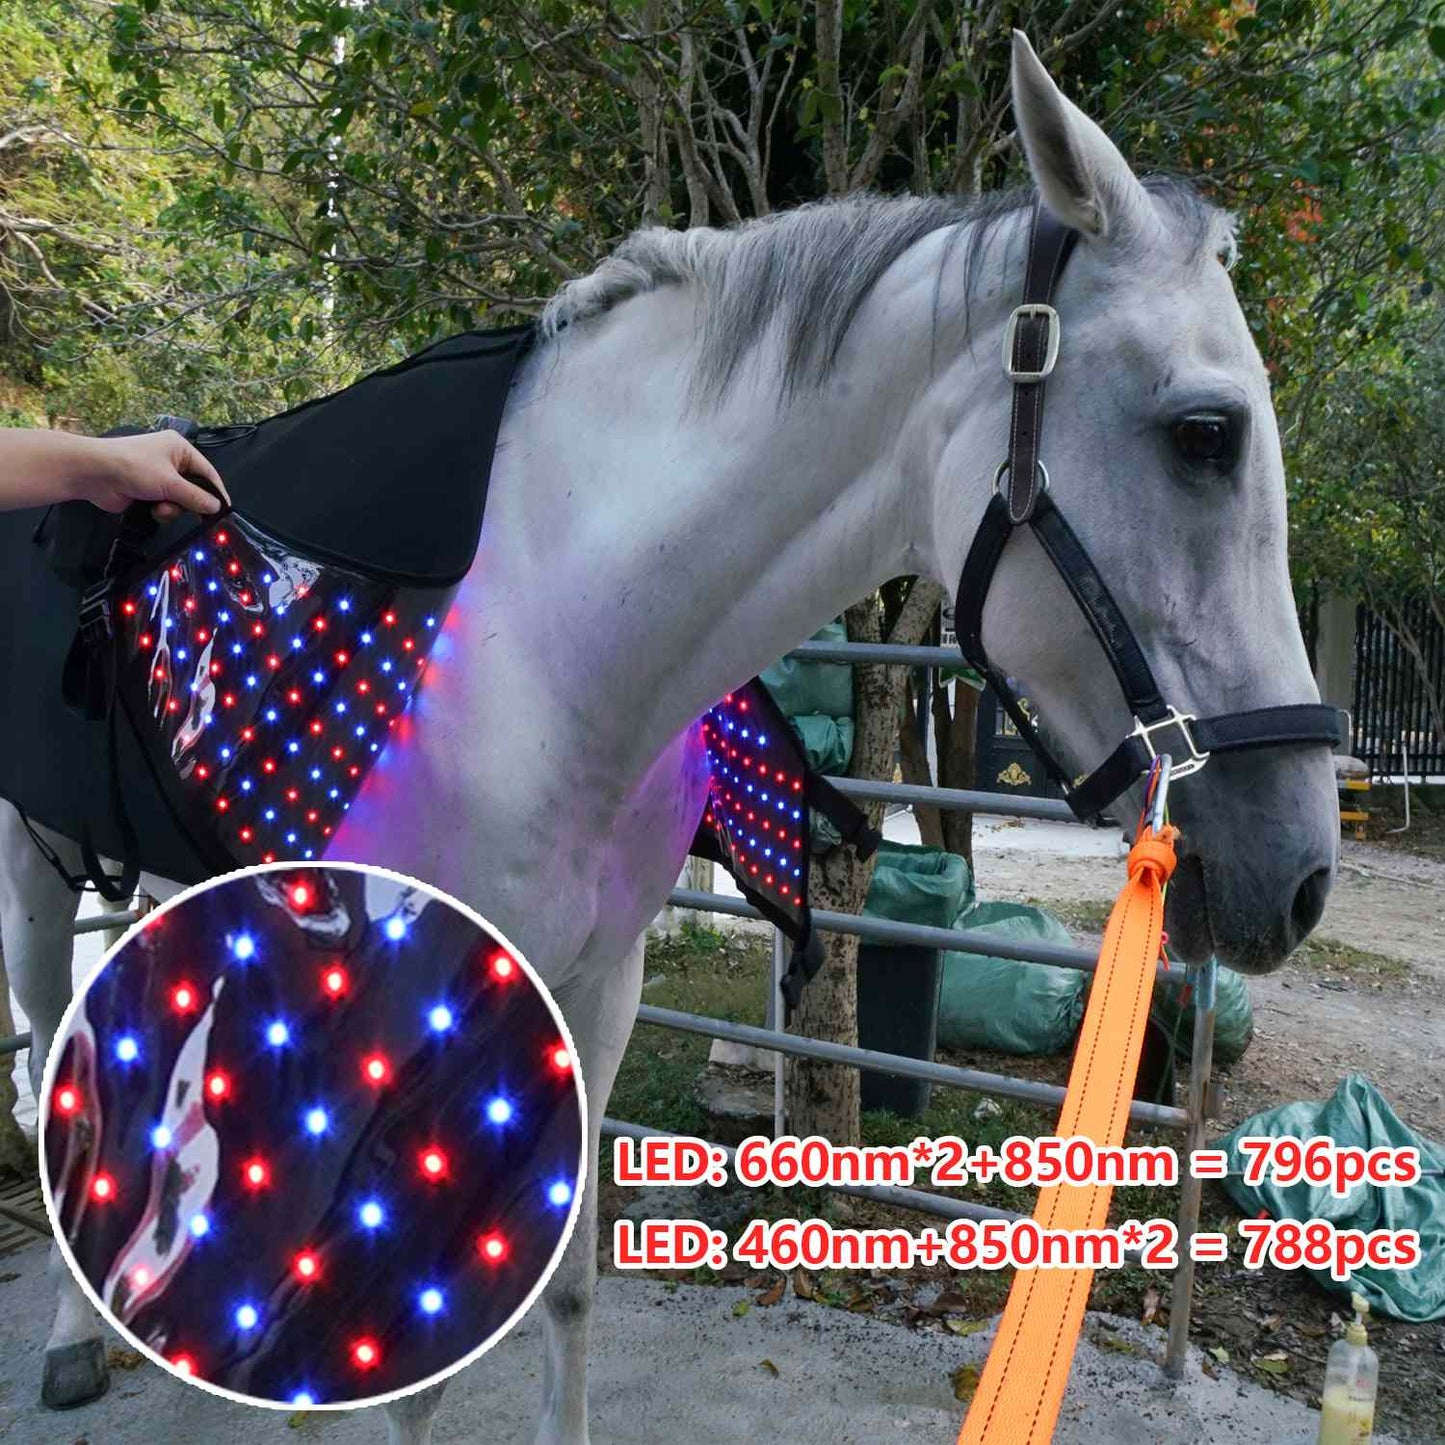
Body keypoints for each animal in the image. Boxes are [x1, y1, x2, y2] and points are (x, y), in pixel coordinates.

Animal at [1, 32, 1339, 1444]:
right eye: (1203, 434)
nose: (1298, 874)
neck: (542, 644)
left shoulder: (597, 988)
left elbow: (568, 1282)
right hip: (34, 886)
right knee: (56, 1052)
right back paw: (77, 1337)